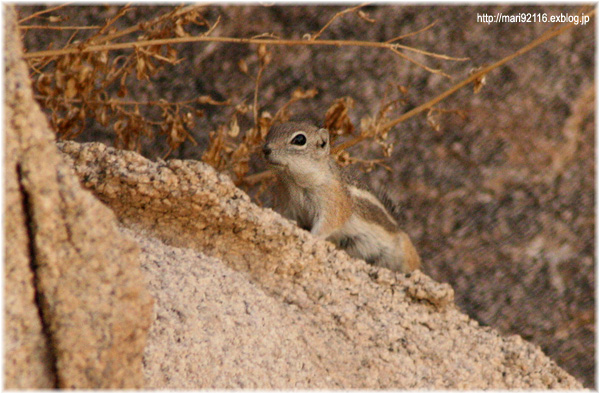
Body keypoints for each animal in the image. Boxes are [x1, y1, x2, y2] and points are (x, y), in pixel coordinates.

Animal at [262, 121, 422, 272]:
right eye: (270, 131)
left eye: (300, 139)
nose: (265, 149)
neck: (295, 183)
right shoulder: (289, 206)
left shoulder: (333, 205)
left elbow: (326, 225)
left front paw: (311, 236)